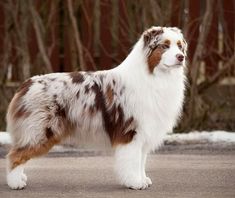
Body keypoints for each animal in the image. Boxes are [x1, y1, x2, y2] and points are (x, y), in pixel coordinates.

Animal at [5, 25, 187, 189]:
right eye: (164, 46)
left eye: (179, 46)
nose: (181, 57)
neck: (154, 76)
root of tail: (26, 84)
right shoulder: (131, 132)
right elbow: (133, 161)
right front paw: (135, 183)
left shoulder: (145, 132)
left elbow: (141, 161)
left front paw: (143, 180)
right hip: (40, 131)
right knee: (16, 155)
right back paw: (15, 183)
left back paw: (20, 178)